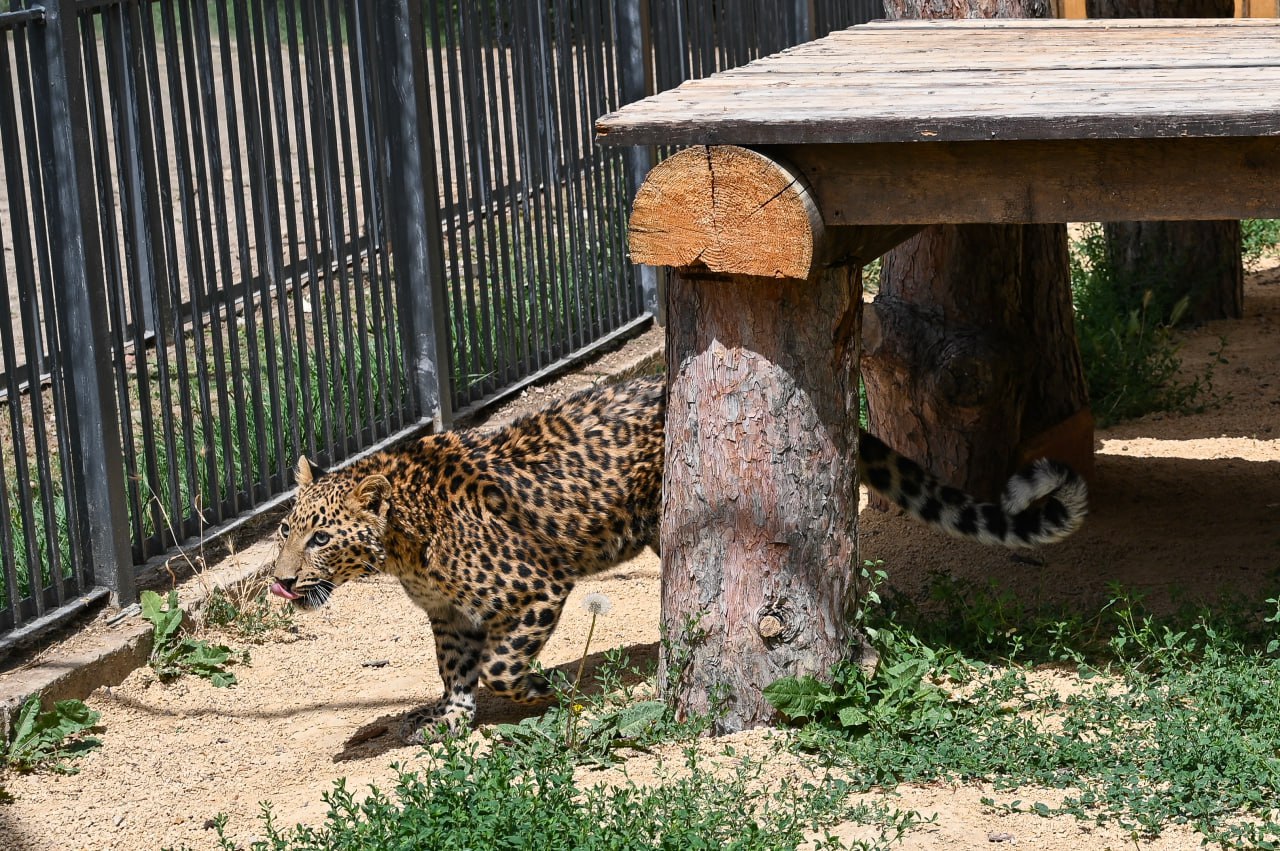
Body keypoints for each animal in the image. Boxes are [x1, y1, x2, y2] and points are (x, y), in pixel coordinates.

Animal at [272, 376, 1090, 742]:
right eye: (286, 529)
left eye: (321, 537)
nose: (279, 581)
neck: (402, 547)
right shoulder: (449, 617)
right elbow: (455, 671)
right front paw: (449, 719)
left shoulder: (538, 586)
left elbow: (502, 665)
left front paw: (540, 692)